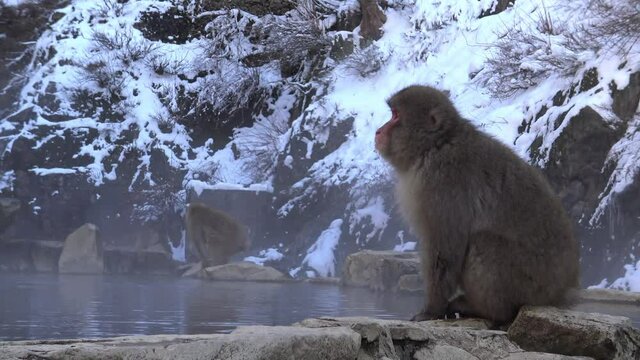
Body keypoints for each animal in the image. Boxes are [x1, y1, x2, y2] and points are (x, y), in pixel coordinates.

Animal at [376, 85, 580, 324]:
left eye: (395, 116)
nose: (378, 131)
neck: (435, 147)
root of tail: (561, 291)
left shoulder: (442, 184)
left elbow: (445, 248)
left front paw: (432, 309)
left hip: (530, 285)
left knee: (483, 242)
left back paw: (484, 310)